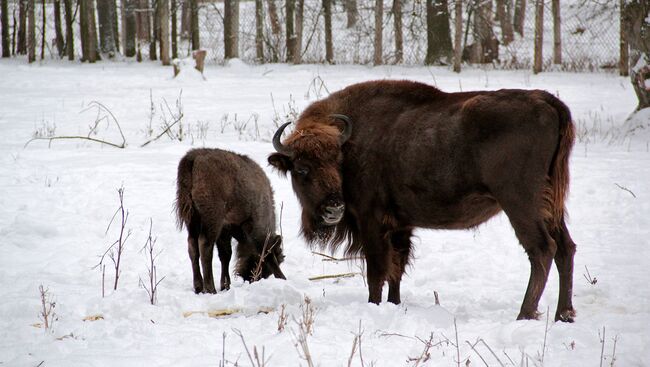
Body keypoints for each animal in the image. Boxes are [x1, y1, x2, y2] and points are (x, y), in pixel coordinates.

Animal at [175, 148, 284, 294]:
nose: (252, 278)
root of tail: (193, 157)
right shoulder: (254, 228)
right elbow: (265, 252)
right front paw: (282, 277)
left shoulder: (225, 230)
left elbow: (225, 255)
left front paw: (225, 285)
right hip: (212, 219)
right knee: (205, 245)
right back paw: (210, 289)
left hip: (192, 221)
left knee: (193, 246)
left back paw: (198, 287)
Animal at [268, 80, 576, 322]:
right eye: (301, 169)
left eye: (337, 162)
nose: (334, 208)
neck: (351, 141)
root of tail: (546, 101)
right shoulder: (400, 225)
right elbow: (396, 268)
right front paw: (394, 304)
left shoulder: (371, 221)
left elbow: (377, 269)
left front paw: (374, 305)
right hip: (552, 206)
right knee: (565, 248)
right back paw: (564, 315)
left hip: (520, 203)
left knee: (542, 249)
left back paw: (524, 314)